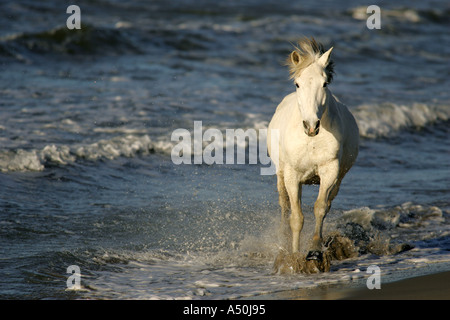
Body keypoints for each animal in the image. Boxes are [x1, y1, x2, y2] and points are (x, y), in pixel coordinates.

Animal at [268, 38, 358, 262]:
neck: (310, 141)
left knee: (328, 203)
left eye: (324, 83)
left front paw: (316, 248)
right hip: (281, 175)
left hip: (338, 179)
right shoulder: (292, 175)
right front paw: (293, 252)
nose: (311, 126)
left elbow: (320, 208)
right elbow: (296, 217)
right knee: (285, 206)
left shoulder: (330, 170)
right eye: (297, 84)